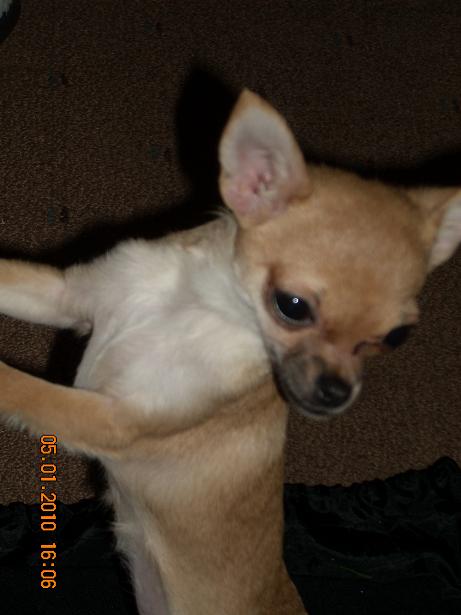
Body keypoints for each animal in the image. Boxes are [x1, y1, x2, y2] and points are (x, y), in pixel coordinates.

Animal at [0, 90, 460, 614]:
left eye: (398, 337)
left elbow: (23, 389)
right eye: (292, 306)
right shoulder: (68, 298)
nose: (335, 393)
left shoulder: (115, 421)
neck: (196, 304)